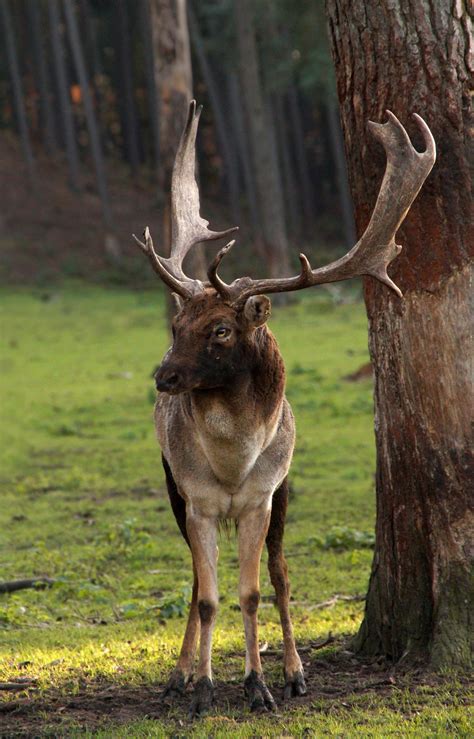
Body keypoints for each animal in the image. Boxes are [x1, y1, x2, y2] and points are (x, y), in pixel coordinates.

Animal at [131, 104, 436, 716]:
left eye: (220, 330)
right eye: (177, 324)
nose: (164, 377)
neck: (231, 467)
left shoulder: (261, 498)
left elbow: (252, 592)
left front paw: (260, 685)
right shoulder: (196, 500)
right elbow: (208, 596)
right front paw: (201, 688)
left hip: (285, 491)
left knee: (280, 574)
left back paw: (295, 671)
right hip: (173, 490)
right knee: (198, 581)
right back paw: (179, 676)